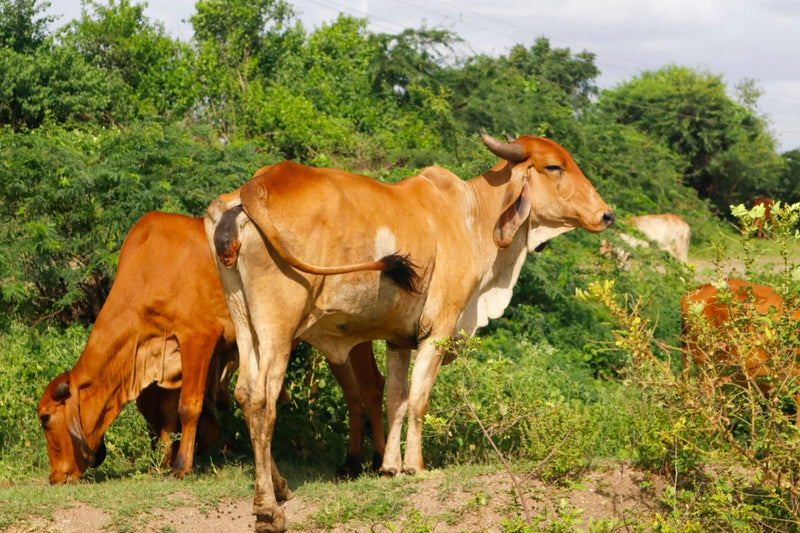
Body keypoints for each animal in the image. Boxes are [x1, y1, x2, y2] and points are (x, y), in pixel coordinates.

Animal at [38, 212, 385, 485]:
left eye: (45, 418)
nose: (55, 477)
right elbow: (169, 416)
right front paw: (164, 461)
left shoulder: (198, 339)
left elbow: (187, 408)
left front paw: (180, 467)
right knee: (355, 395)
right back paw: (351, 463)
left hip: (355, 336)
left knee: (370, 388)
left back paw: (380, 462)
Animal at [204, 131, 614, 532]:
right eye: (554, 166)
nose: (606, 215)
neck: (472, 217)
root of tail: (255, 186)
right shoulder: (438, 331)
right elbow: (418, 401)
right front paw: (415, 466)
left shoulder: (397, 339)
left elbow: (395, 399)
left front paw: (389, 466)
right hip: (278, 324)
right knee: (263, 400)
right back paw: (268, 510)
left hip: (246, 321)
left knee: (244, 394)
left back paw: (280, 487)